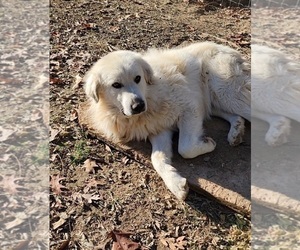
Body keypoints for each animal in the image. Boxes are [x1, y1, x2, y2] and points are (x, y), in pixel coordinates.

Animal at [83, 42, 250, 200]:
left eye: (138, 78)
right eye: (116, 85)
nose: (138, 106)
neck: (149, 95)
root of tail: (228, 49)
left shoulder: (190, 108)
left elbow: (185, 148)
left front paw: (208, 144)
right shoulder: (159, 129)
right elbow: (157, 158)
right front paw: (175, 184)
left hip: (226, 93)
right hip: (215, 101)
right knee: (235, 115)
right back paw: (236, 131)